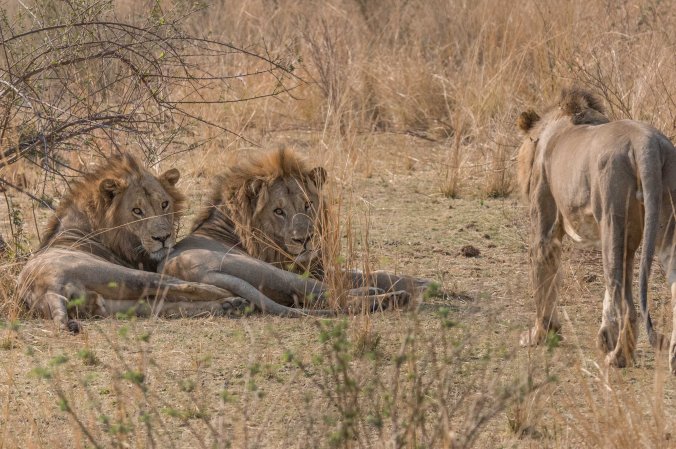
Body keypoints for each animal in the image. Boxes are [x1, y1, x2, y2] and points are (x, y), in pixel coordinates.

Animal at [18, 153, 251, 332]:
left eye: (164, 204)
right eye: (137, 211)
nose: (163, 238)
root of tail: (47, 290)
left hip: (115, 304)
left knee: (164, 306)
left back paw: (230, 305)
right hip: (116, 274)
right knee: (175, 285)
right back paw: (230, 297)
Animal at [159, 147, 430, 315]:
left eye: (307, 205)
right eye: (279, 211)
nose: (305, 239)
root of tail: (196, 273)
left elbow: (370, 272)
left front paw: (422, 280)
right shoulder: (296, 265)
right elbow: (361, 275)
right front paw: (420, 284)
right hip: (269, 271)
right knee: (329, 293)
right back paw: (389, 297)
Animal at [517, 87, 676, 373]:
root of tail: (646, 143)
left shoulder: (545, 226)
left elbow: (543, 279)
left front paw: (539, 335)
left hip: (612, 217)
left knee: (624, 301)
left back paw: (618, 357)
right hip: (664, 222)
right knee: (670, 287)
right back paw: (671, 359)